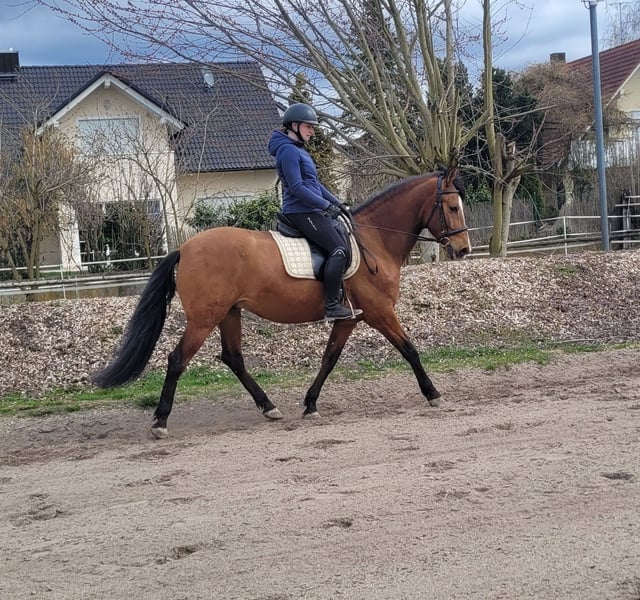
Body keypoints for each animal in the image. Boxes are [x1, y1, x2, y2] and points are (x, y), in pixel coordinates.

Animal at [93, 168, 471, 439]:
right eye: (452, 207)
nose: (463, 249)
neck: (374, 241)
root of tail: (185, 248)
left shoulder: (349, 318)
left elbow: (330, 358)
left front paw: (310, 403)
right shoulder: (380, 313)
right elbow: (410, 350)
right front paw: (433, 393)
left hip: (229, 314)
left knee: (233, 358)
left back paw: (268, 406)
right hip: (203, 319)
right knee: (177, 360)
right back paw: (160, 422)